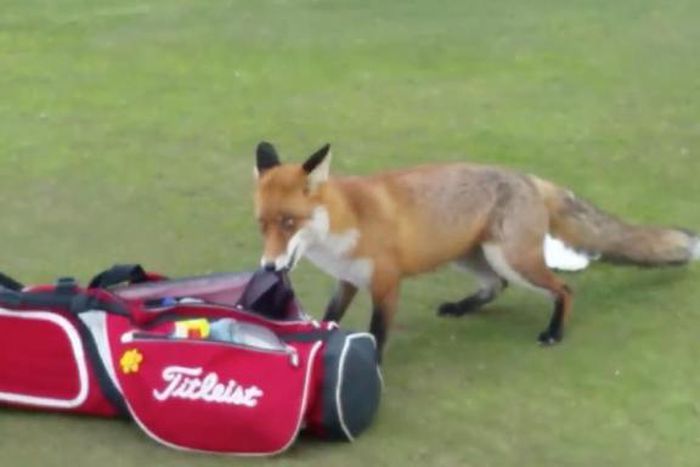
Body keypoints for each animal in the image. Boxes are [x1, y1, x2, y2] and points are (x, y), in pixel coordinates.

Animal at [253, 141, 699, 360]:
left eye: (289, 222)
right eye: (262, 224)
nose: (270, 267)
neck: (347, 224)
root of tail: (529, 178)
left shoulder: (386, 283)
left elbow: (378, 333)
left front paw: (372, 366)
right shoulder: (347, 280)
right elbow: (331, 317)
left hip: (512, 259)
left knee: (563, 290)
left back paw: (554, 332)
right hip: (470, 256)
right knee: (497, 285)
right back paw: (462, 307)